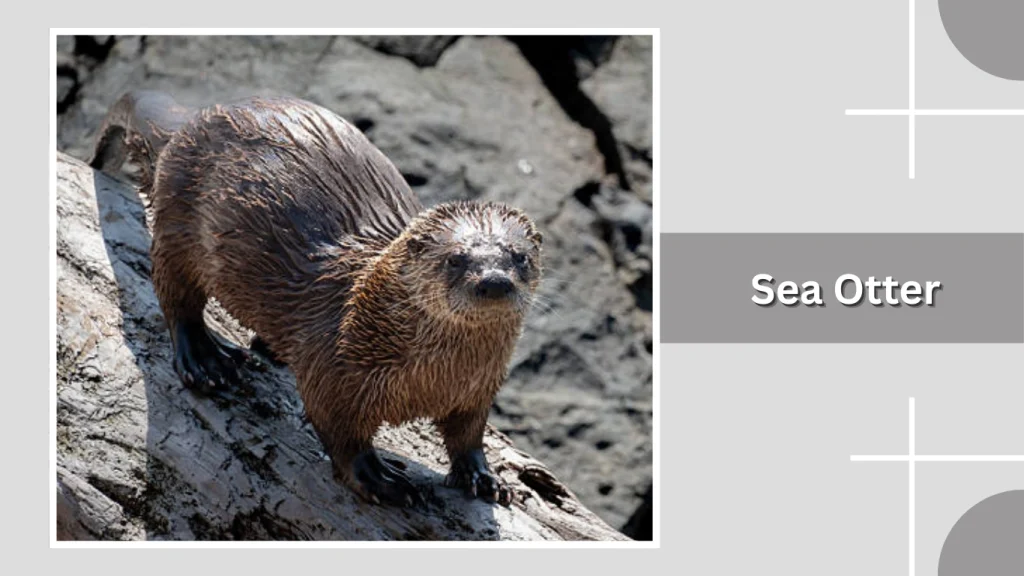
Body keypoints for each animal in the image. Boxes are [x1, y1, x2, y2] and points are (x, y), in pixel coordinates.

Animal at [90, 90, 543, 507]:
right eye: (455, 259)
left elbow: (468, 433)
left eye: (519, 257)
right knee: (175, 297)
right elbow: (339, 431)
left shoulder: (478, 389)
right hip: (178, 220)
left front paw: (481, 475)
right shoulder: (332, 364)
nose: (494, 280)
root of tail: (195, 118)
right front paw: (380, 478)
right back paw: (206, 360)